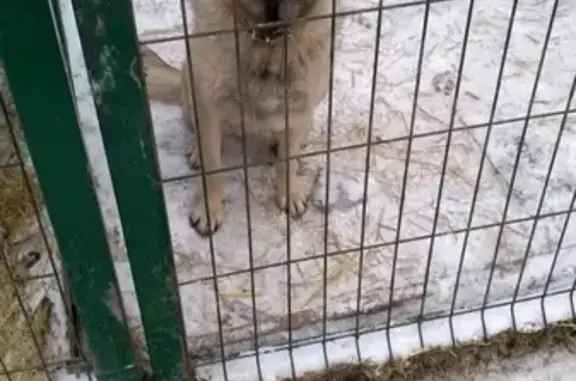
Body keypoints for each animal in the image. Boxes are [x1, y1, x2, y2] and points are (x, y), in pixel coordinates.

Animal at [142, 0, 338, 235]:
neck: (266, 35)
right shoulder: (209, 104)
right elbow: (212, 166)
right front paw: (209, 208)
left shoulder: (300, 107)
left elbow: (286, 163)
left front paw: (289, 193)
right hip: (190, 81)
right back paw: (197, 151)